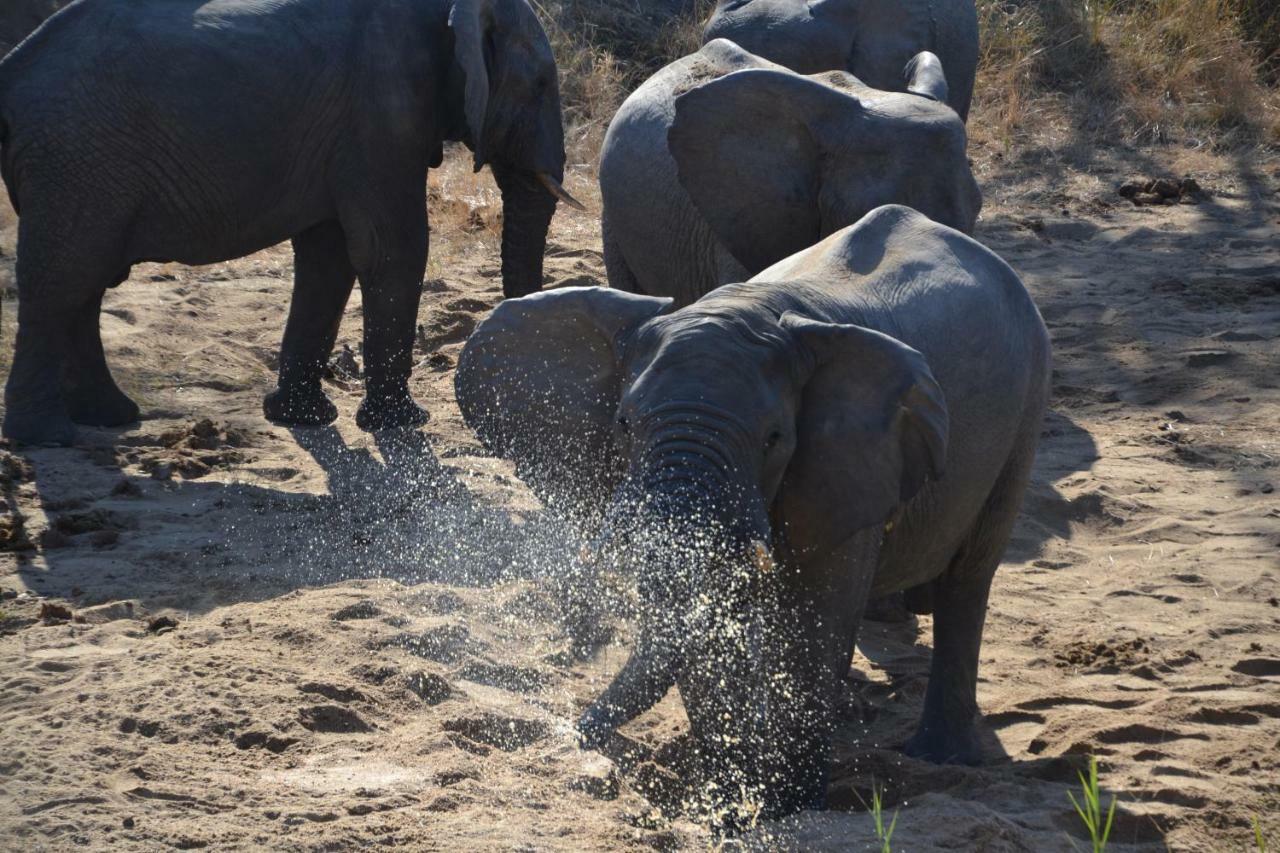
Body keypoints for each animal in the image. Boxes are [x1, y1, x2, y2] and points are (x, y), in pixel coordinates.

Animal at [0, 0, 576, 448]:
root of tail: (14, 71)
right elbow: (392, 248)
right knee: (64, 279)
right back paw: (47, 436)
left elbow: (330, 255)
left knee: (84, 281)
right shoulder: (383, 103)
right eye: (541, 84)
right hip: (76, 159)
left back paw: (109, 417)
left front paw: (303, 418)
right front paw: (402, 423)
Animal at [455, 204, 1054, 819]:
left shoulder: (847, 458)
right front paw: (738, 792)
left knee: (968, 579)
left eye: (774, 438)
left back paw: (941, 755)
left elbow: (815, 625)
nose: (576, 729)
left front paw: (787, 805)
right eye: (623, 423)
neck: (747, 307)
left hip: (1028, 405)